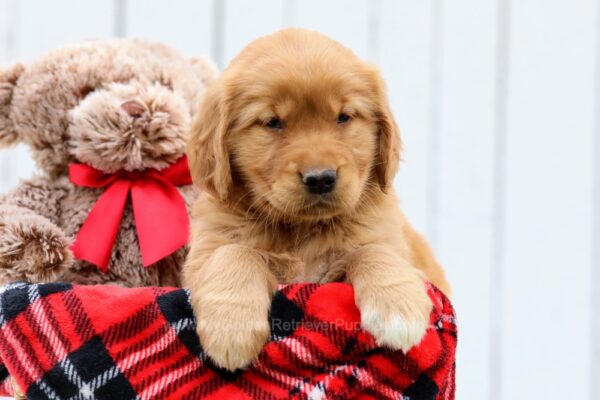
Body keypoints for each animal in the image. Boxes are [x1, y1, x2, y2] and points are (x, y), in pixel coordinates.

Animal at [184, 28, 450, 372]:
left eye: (343, 117)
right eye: (272, 122)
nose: (321, 178)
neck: (301, 230)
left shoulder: (383, 241)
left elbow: (372, 250)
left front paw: (397, 305)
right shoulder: (205, 252)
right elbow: (234, 252)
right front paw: (231, 327)